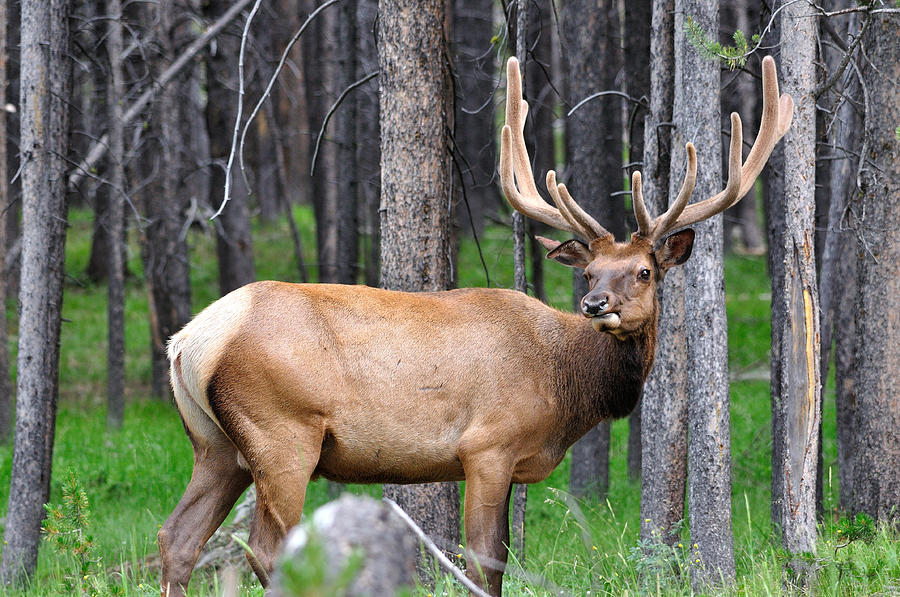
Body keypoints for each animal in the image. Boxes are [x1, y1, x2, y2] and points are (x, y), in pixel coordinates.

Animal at [158, 57, 792, 596]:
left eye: (643, 271)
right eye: (589, 271)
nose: (595, 304)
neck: (566, 383)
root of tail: (189, 340)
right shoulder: (487, 446)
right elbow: (485, 563)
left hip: (216, 444)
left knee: (176, 539)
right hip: (283, 432)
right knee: (267, 549)